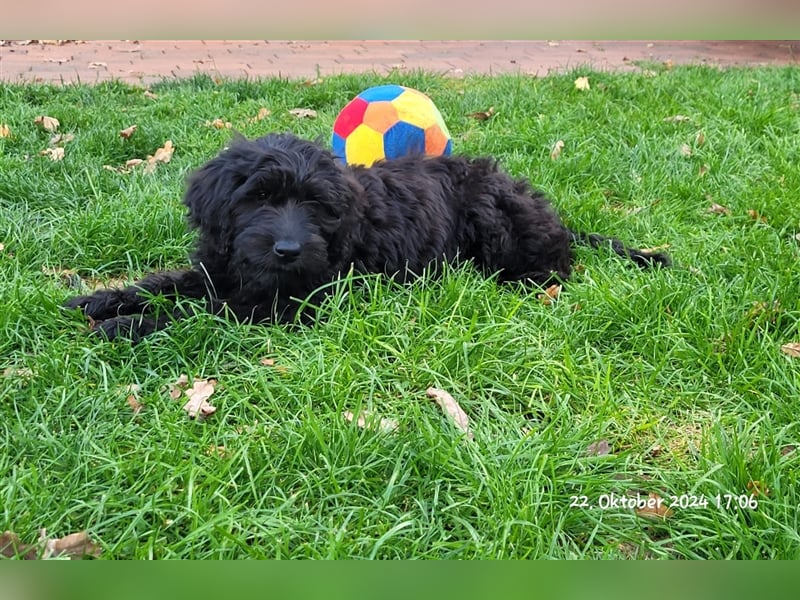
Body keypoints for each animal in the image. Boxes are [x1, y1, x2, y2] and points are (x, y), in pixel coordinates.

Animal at [65, 135, 668, 342]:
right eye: (258, 199)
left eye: (316, 207)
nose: (287, 250)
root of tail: (557, 219)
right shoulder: (223, 265)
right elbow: (171, 282)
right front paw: (102, 298)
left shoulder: (299, 301)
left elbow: (205, 311)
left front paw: (128, 325)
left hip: (495, 220)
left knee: (550, 268)